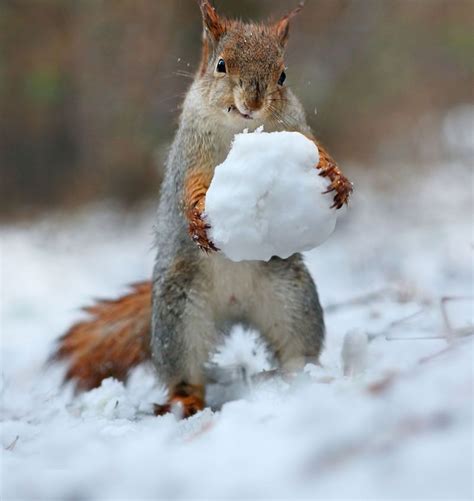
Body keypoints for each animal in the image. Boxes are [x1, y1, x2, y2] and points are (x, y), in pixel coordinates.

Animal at [51, 0, 352, 418]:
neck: (241, 130)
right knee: (185, 372)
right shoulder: (190, 155)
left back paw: (304, 380)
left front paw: (338, 179)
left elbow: (320, 151)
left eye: (283, 75)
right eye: (221, 65)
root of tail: (234, 305)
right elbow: (191, 188)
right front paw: (196, 219)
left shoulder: (300, 131)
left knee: (297, 348)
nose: (253, 103)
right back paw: (185, 401)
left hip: (293, 302)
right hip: (179, 320)